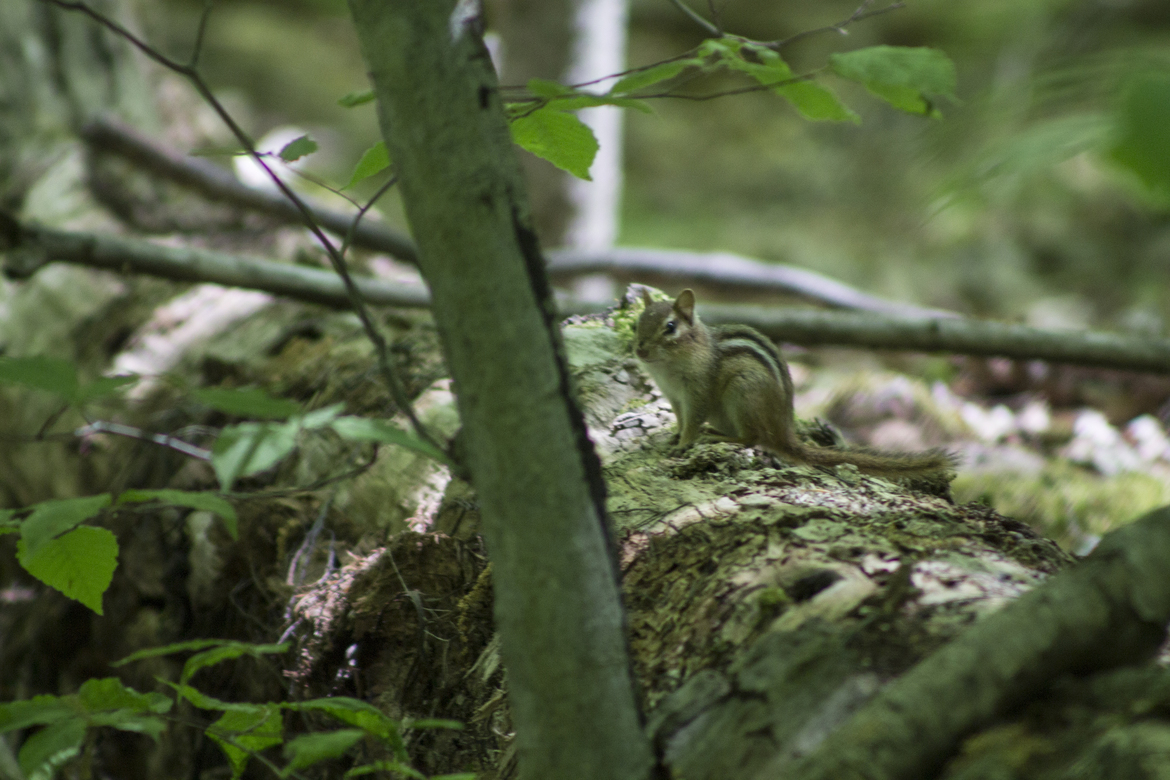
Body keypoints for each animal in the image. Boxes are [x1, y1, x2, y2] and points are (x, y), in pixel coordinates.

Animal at [634, 288, 955, 477]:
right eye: (638, 322)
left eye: (670, 327)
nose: (639, 350)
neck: (667, 368)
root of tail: (783, 429)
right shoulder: (673, 395)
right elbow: (680, 418)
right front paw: (674, 435)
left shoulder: (697, 390)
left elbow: (693, 419)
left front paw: (683, 443)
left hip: (743, 391)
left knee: (753, 437)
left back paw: (717, 437)